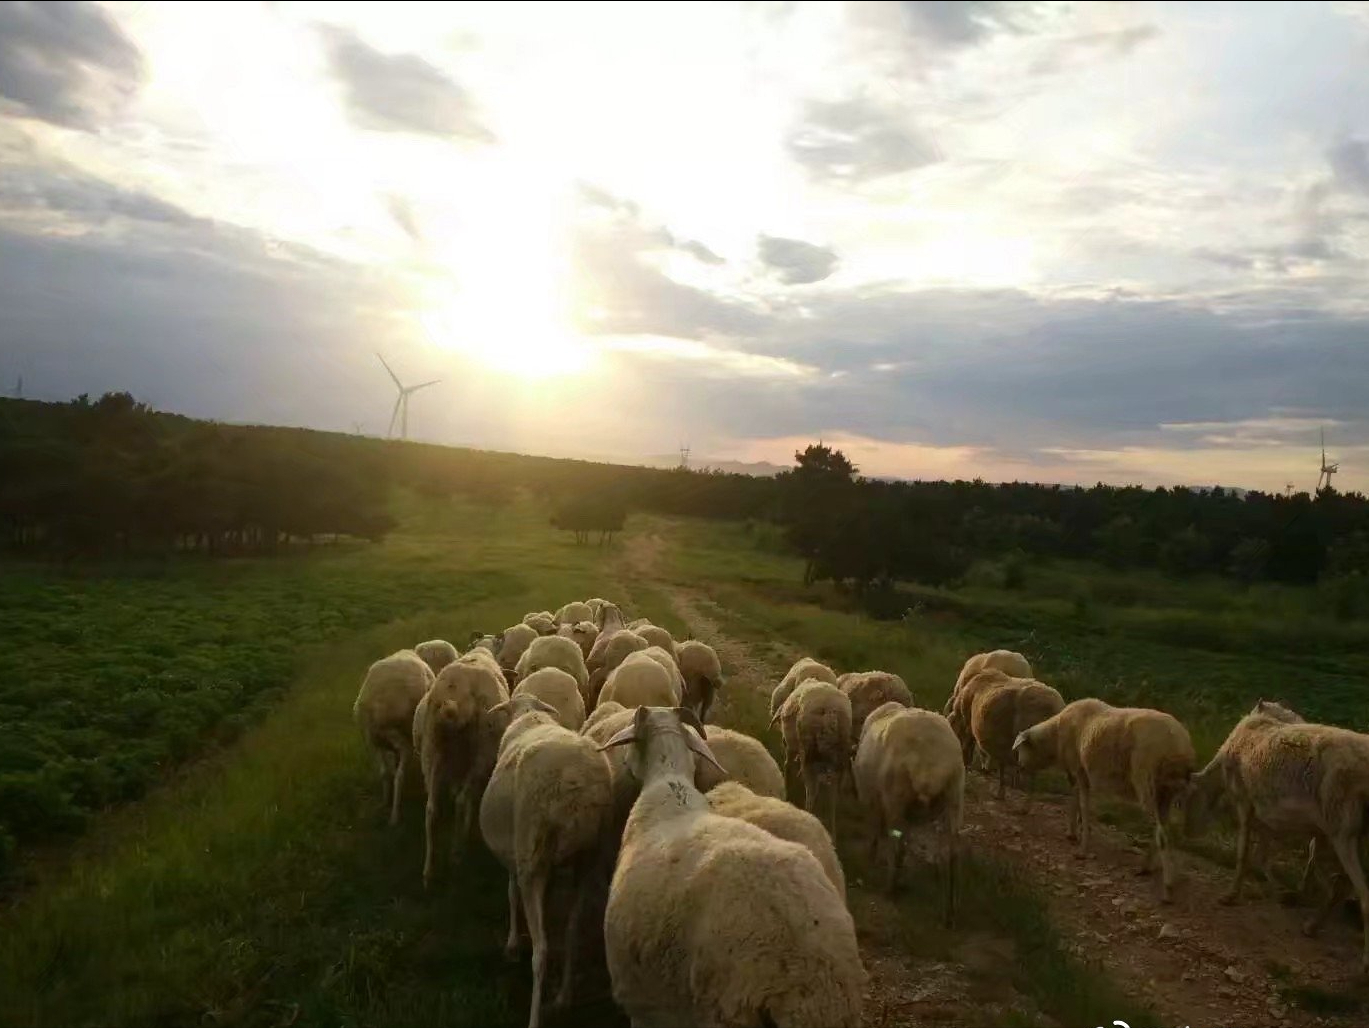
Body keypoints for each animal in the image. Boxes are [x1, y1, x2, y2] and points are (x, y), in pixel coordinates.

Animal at [353, 651, 432, 826]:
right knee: (397, 775)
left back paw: (389, 807)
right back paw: (394, 813)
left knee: (389, 773)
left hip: (380, 739)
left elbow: (387, 772)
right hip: (396, 739)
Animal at [479, 692, 613, 1028]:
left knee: (541, 951)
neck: (529, 714)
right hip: (588, 854)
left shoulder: (516, 853)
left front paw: (512, 943)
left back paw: (535, 1017)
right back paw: (564, 998)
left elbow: (511, 893)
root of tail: (574, 780)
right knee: (572, 930)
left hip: (533, 852)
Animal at [848, 706, 958, 925]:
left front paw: (871, 856)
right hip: (953, 800)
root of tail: (929, 764)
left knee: (896, 846)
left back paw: (890, 889)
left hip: (895, 798)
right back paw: (947, 913)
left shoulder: (871, 800)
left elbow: (874, 831)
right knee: (948, 856)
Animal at [1013, 700, 1193, 897]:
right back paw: (1147, 867)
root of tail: (1180, 744)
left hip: (1148, 782)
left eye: (1022, 748)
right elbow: (1074, 801)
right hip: (1168, 792)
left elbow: (1083, 806)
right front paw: (1072, 833)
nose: (1020, 767)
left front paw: (1082, 848)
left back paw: (1167, 886)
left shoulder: (1080, 770)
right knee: (1166, 826)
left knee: (1163, 833)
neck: (1055, 737)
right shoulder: (1078, 773)